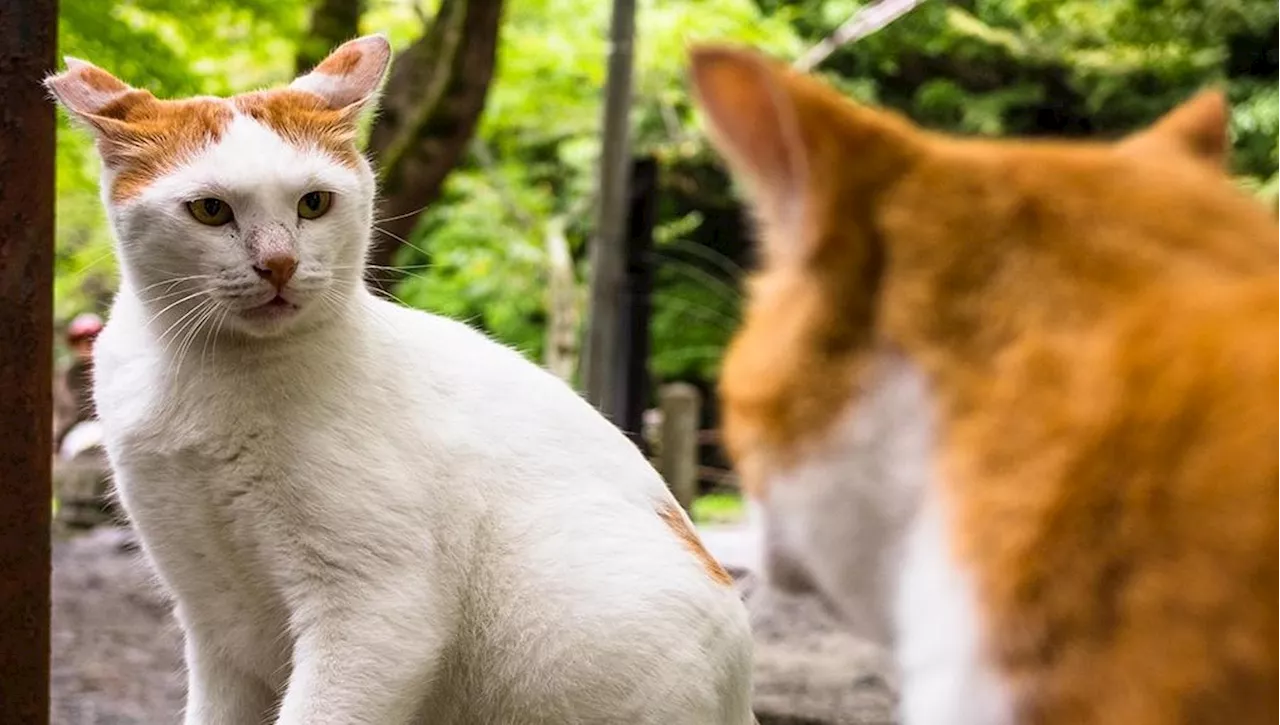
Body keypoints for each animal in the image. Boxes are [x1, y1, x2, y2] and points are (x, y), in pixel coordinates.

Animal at [47, 35, 747, 725]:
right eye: (210, 210)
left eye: (313, 203)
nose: (279, 263)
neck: (206, 378)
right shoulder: (212, 617)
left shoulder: (374, 608)